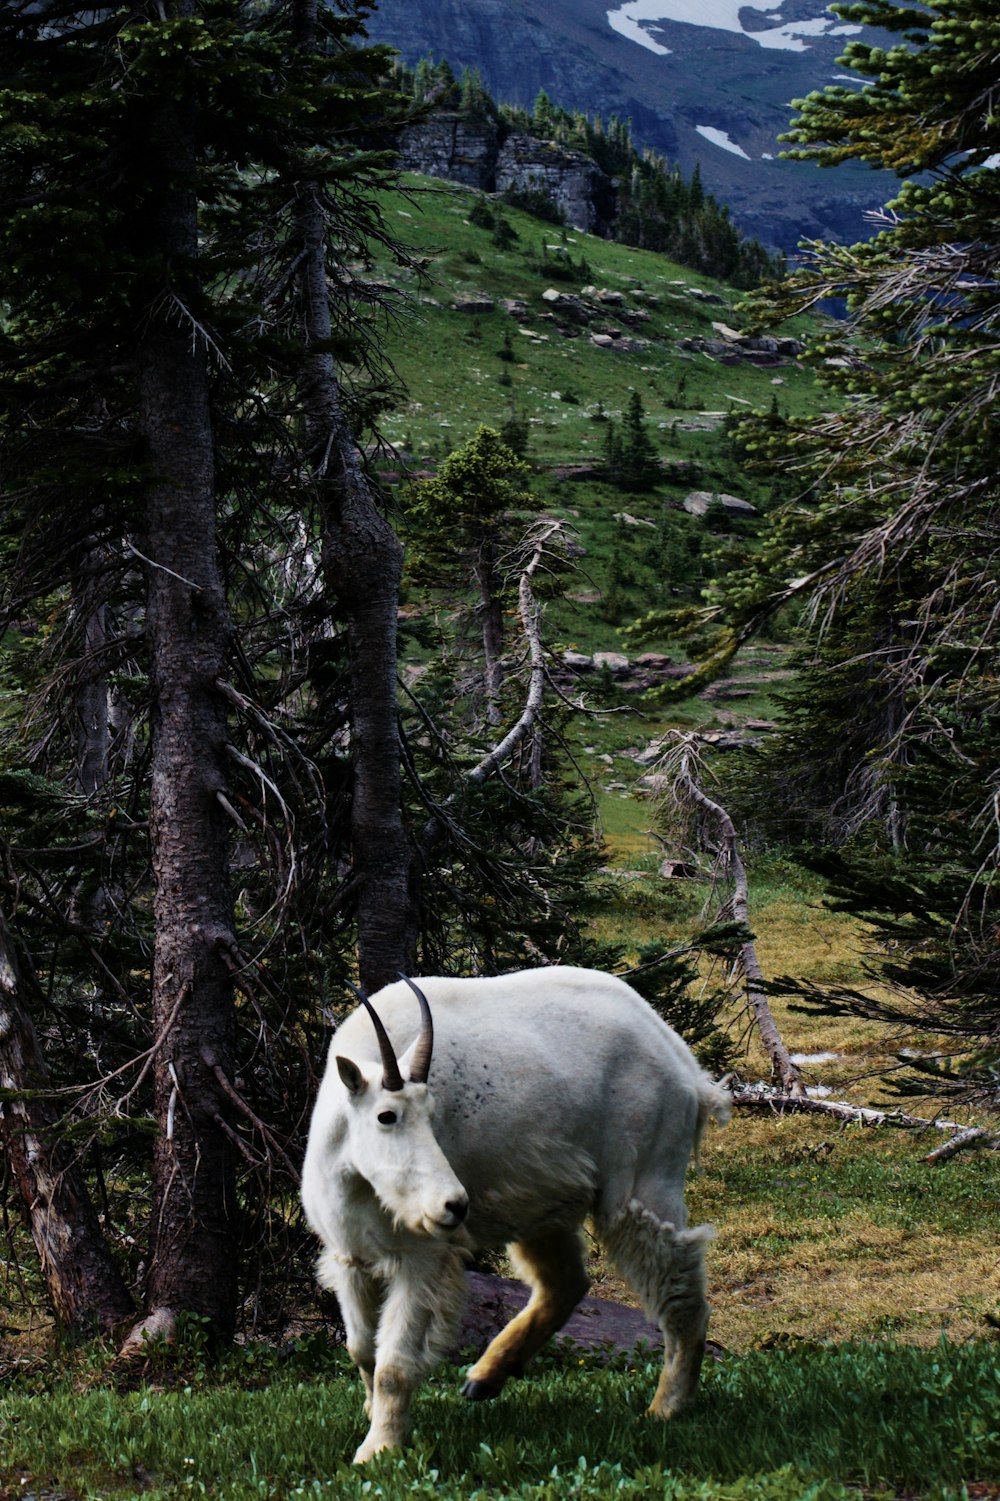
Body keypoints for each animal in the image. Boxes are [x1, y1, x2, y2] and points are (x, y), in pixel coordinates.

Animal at [300, 966, 729, 1458]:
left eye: (433, 1114)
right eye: (386, 1116)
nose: (454, 1205)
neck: (355, 1178)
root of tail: (682, 1062)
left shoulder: (422, 1259)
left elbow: (392, 1364)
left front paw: (379, 1449)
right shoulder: (350, 1256)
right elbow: (361, 1350)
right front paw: (372, 1416)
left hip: (645, 1180)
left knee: (680, 1286)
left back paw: (667, 1406)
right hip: (543, 1200)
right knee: (566, 1282)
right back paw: (485, 1378)